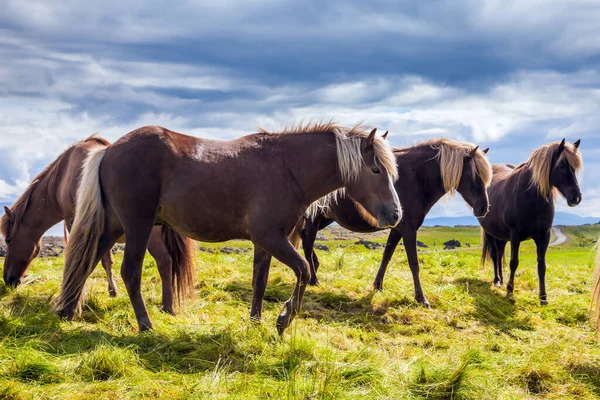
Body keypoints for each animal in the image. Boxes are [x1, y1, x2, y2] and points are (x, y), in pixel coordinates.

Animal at [0, 136, 192, 314]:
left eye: (8, 240)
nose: (7, 279)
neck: (62, 177)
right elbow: (105, 261)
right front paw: (112, 291)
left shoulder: (76, 223)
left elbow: (80, 258)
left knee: (164, 261)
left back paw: (166, 307)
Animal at [54, 122, 404, 334]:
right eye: (376, 169)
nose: (396, 214)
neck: (287, 168)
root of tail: (109, 150)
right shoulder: (271, 238)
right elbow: (304, 270)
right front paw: (283, 318)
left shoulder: (265, 242)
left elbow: (260, 282)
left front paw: (256, 321)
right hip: (137, 226)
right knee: (129, 272)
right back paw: (145, 325)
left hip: (113, 226)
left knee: (86, 261)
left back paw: (67, 312)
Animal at [300, 139, 492, 304]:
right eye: (474, 174)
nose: (484, 208)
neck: (415, 177)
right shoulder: (409, 229)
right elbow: (414, 263)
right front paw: (421, 298)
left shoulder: (397, 229)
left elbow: (387, 255)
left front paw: (377, 285)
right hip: (313, 219)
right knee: (308, 244)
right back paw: (313, 279)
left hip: (323, 219)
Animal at [480, 139, 584, 304]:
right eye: (562, 166)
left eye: (574, 167)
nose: (576, 197)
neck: (531, 198)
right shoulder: (515, 235)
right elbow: (514, 262)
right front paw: (510, 290)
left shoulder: (544, 237)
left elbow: (542, 266)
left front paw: (543, 297)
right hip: (490, 232)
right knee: (495, 255)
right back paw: (497, 281)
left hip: (501, 235)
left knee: (500, 253)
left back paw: (501, 280)